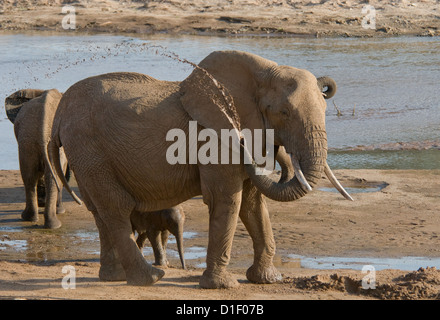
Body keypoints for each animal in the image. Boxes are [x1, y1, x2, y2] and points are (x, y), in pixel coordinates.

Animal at [46, 51, 352, 288]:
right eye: (284, 113)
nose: (244, 144)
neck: (262, 72)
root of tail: (60, 113)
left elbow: (253, 204)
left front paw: (267, 280)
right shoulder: (214, 137)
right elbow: (228, 199)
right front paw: (222, 286)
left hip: (85, 154)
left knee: (99, 210)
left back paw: (114, 277)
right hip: (89, 147)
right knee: (116, 208)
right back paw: (150, 278)